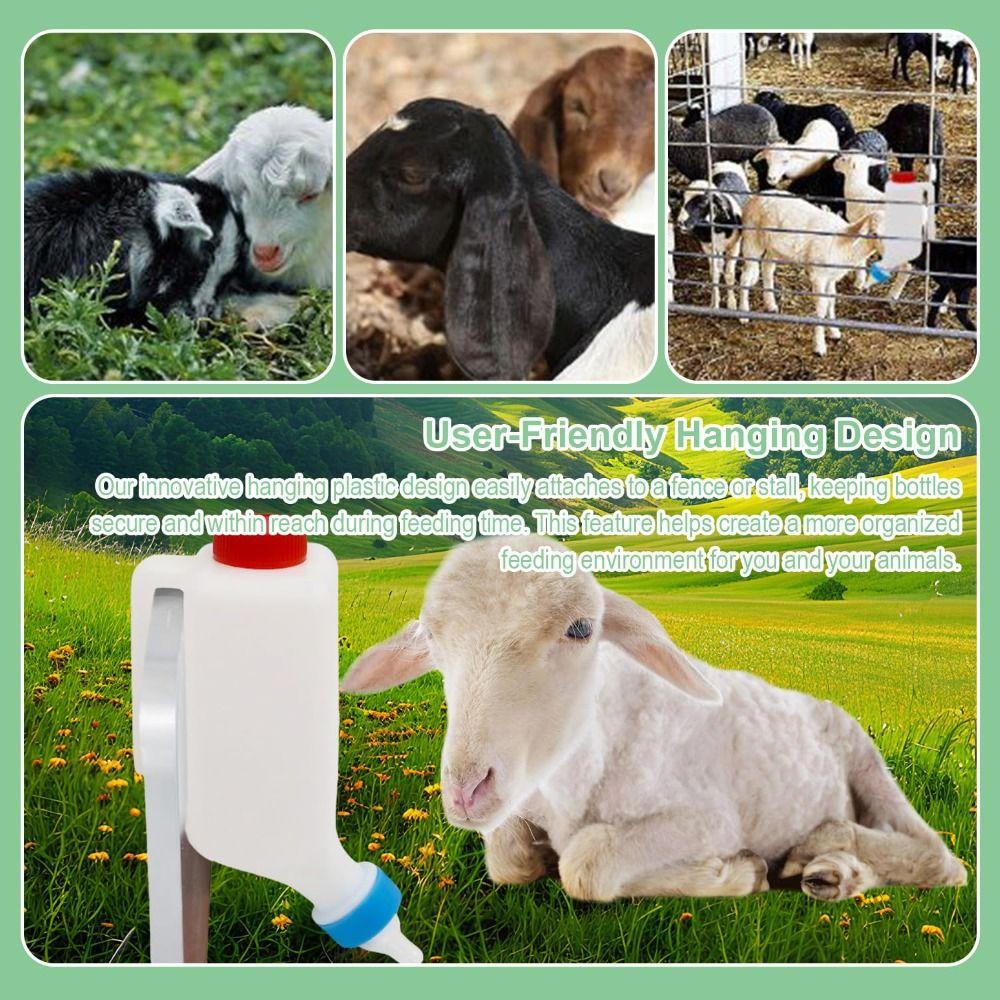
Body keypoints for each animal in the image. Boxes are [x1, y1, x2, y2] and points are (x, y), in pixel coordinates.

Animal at [342, 535, 966, 903]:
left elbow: (585, 863)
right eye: (432, 638)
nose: (467, 790)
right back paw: (832, 872)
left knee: (941, 860)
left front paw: (735, 874)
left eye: (581, 629)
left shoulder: (708, 818)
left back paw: (821, 849)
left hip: (868, 762)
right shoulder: (521, 804)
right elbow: (509, 858)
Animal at [676, 161, 749, 309]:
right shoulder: (707, 247)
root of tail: (726, 162)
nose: (680, 222)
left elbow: (729, 275)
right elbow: (714, 274)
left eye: (702, 203)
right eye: (683, 200)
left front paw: (731, 304)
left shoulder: (734, 247)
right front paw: (714, 303)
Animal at [738, 192, 882, 356]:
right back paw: (743, 313)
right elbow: (821, 306)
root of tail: (756, 197)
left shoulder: (831, 277)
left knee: (767, 267)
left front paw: (834, 331)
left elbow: (831, 300)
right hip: (752, 239)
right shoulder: (819, 276)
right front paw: (819, 346)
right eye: (875, 233)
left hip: (774, 247)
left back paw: (770, 304)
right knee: (745, 276)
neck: (844, 241)